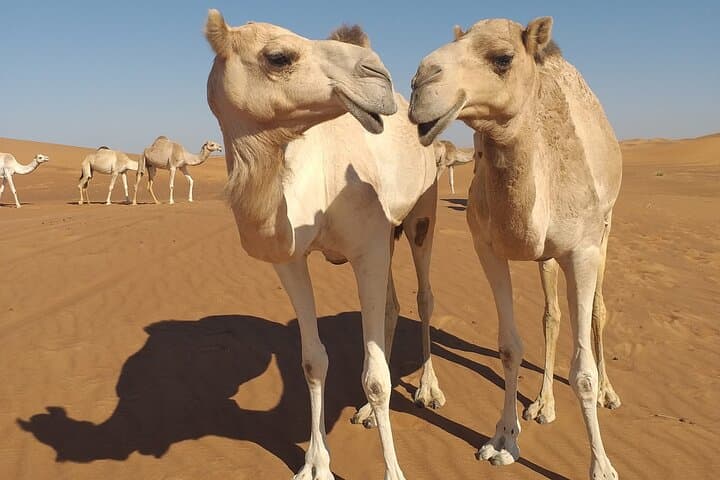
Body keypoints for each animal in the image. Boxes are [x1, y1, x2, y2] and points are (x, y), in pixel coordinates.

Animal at [205, 11, 443, 480]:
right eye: (278, 57)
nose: (379, 74)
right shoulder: (291, 259)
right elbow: (313, 361)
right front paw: (315, 463)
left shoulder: (367, 248)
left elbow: (376, 378)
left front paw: (393, 471)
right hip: (387, 236)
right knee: (391, 306)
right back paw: (366, 414)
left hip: (421, 212)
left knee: (423, 296)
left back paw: (428, 390)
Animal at [409, 17, 622, 479]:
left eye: (502, 58)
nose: (419, 82)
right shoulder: (488, 248)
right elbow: (509, 347)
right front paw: (503, 440)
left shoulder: (582, 250)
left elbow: (582, 371)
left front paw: (601, 465)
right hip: (546, 257)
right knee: (551, 315)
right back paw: (543, 404)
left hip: (605, 229)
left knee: (598, 310)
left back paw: (608, 394)